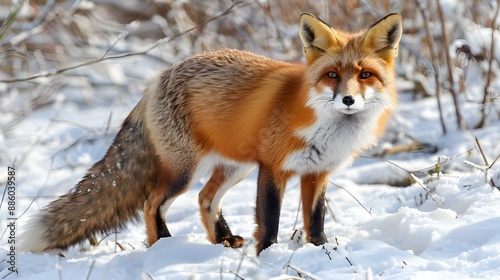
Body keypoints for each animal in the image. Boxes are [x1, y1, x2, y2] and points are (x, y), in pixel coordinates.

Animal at [19, 12, 402, 255]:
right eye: (332, 75)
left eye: (365, 75)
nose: (348, 99)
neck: (324, 128)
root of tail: (156, 79)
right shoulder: (273, 168)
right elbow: (270, 220)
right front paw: (269, 256)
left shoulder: (318, 172)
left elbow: (316, 219)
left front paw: (320, 252)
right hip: (184, 171)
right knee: (152, 203)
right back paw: (163, 246)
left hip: (235, 166)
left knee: (205, 199)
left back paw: (223, 240)